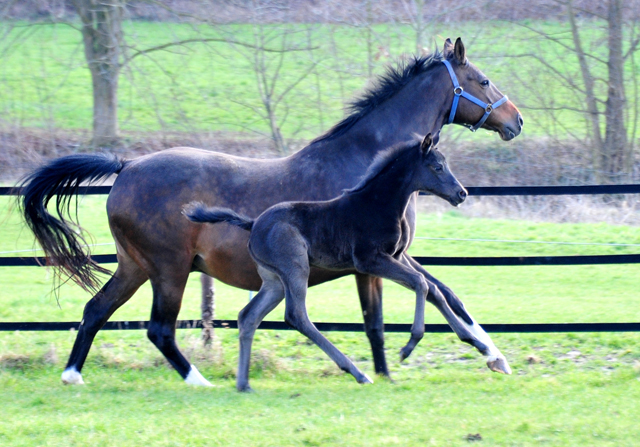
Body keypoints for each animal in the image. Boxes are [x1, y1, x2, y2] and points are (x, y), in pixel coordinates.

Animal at [185, 136, 510, 392]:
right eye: (437, 166)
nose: (461, 193)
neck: (379, 204)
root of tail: (253, 224)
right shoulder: (370, 261)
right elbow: (421, 284)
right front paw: (408, 346)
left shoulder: (394, 257)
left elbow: (433, 289)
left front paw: (478, 344)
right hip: (295, 270)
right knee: (296, 315)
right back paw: (358, 372)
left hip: (274, 280)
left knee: (249, 316)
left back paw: (244, 384)